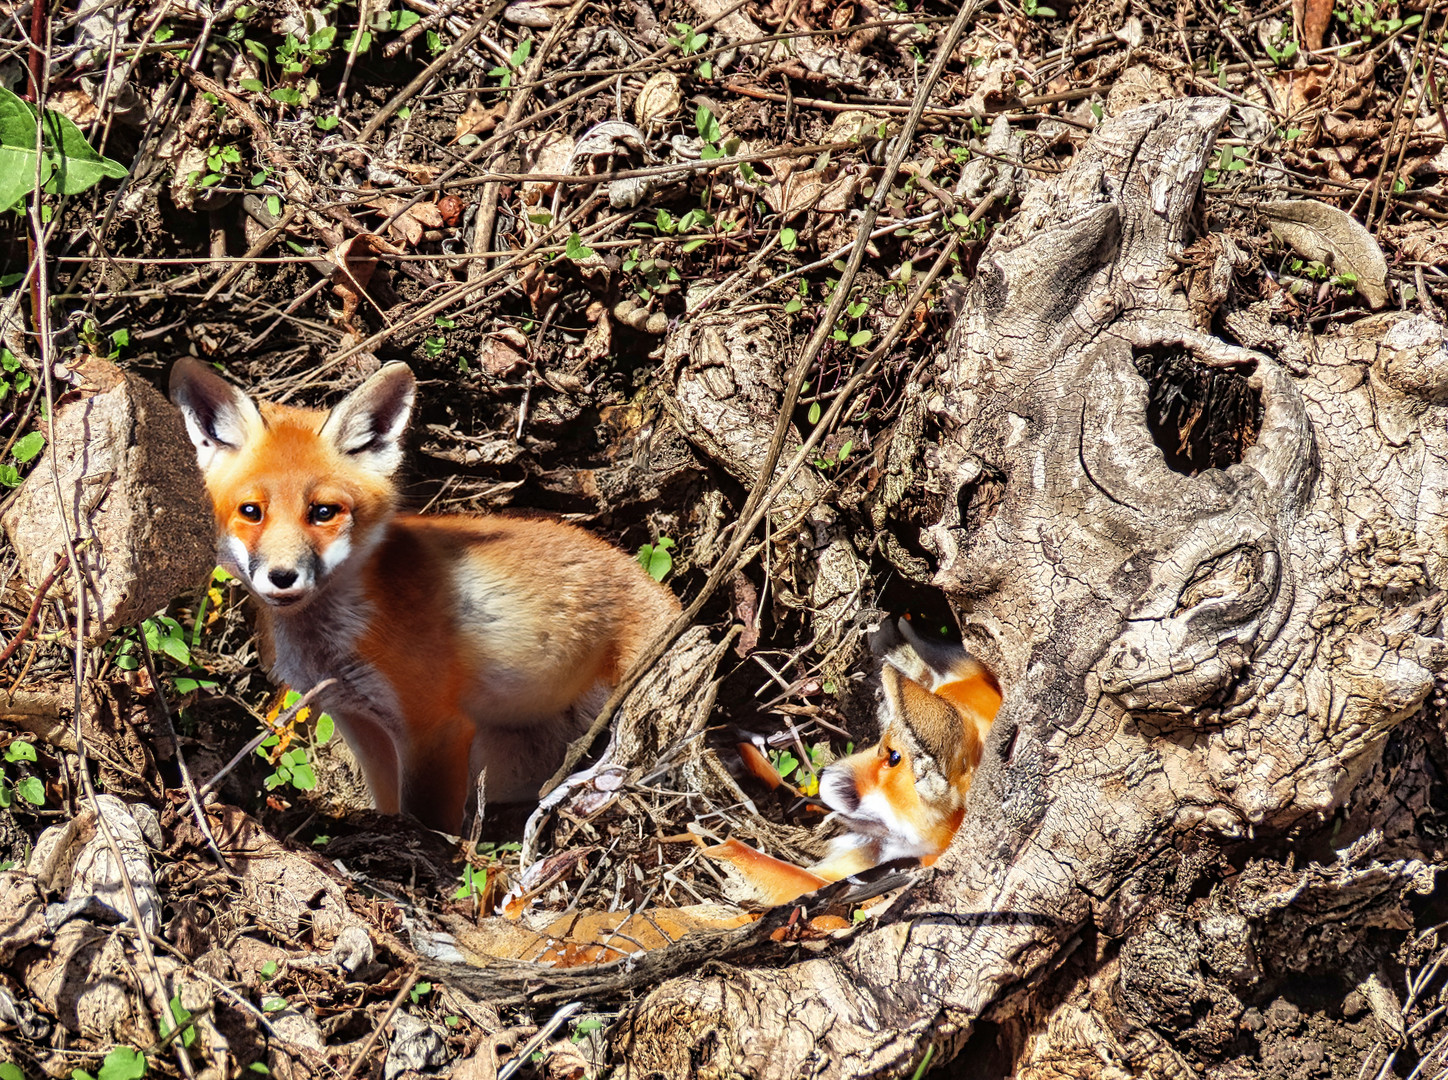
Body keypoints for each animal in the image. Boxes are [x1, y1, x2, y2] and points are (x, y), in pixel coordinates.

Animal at [172, 357, 680, 828]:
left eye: (323, 512)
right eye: (251, 511)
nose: (282, 577)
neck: (333, 646)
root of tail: (667, 593)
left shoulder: (437, 727)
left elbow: (427, 821)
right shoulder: (359, 721)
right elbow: (388, 803)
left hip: (630, 702)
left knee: (627, 759)